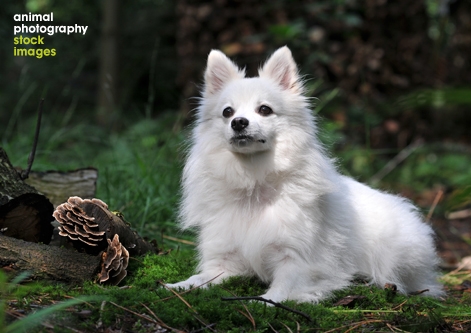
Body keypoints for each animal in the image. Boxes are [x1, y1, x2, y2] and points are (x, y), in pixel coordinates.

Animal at [168, 45, 444, 302]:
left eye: (265, 110)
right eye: (227, 112)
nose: (239, 123)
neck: (254, 181)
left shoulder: (297, 261)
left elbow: (279, 291)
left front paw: (265, 302)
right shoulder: (224, 262)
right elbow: (200, 277)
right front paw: (177, 286)